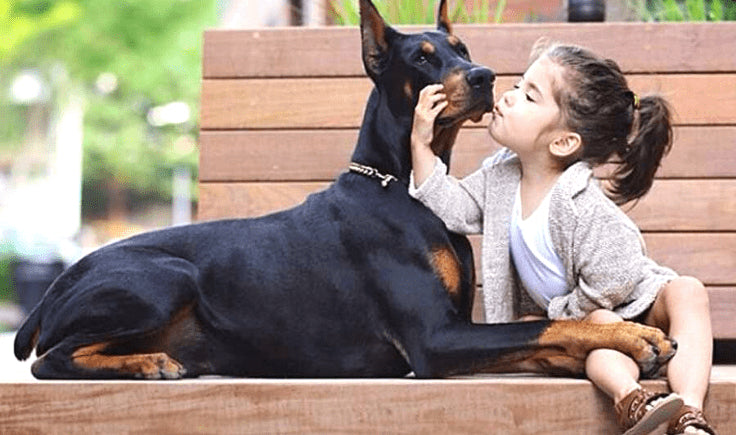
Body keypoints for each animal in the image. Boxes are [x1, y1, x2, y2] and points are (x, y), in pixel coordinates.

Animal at [14, 0, 676, 380]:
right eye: (424, 57)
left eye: (462, 48)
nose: (486, 77)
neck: (398, 184)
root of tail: (50, 291)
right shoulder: (433, 340)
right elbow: (541, 328)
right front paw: (631, 333)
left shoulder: (456, 331)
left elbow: (541, 339)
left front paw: (614, 344)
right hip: (163, 277)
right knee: (50, 360)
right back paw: (147, 361)